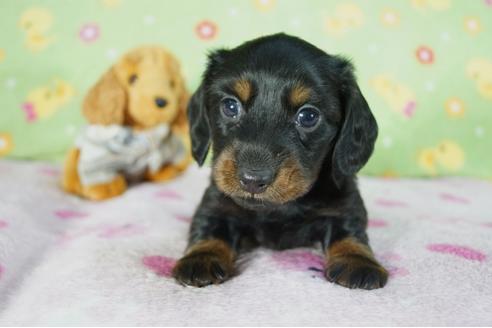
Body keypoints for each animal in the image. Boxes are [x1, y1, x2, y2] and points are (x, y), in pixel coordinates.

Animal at [173, 33, 388, 290]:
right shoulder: (217, 200)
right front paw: (201, 257)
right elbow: (208, 227)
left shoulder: (345, 201)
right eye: (230, 106)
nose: (253, 179)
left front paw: (357, 260)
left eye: (308, 116)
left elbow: (350, 231)